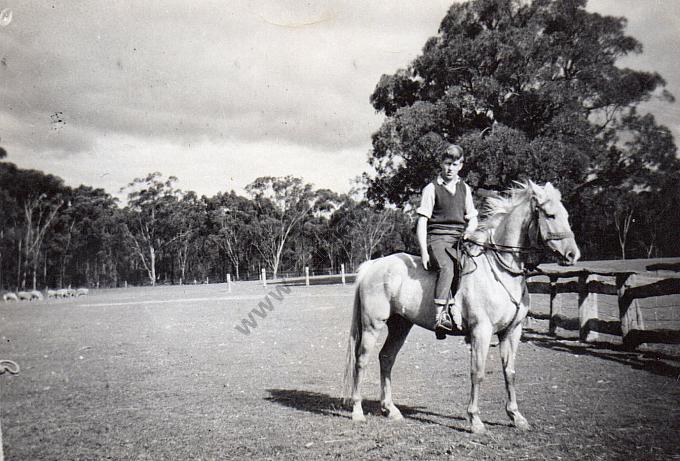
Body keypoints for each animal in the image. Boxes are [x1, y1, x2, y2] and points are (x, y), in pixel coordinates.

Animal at [346, 181, 580, 434]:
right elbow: (477, 373)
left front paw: (516, 416)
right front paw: (475, 420)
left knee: (386, 358)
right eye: (550, 215)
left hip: (401, 326)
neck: (500, 271)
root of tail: (373, 265)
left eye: (567, 215)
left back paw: (391, 410)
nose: (573, 255)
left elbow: (510, 372)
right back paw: (358, 412)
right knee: (362, 361)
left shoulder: (512, 332)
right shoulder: (481, 331)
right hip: (372, 325)